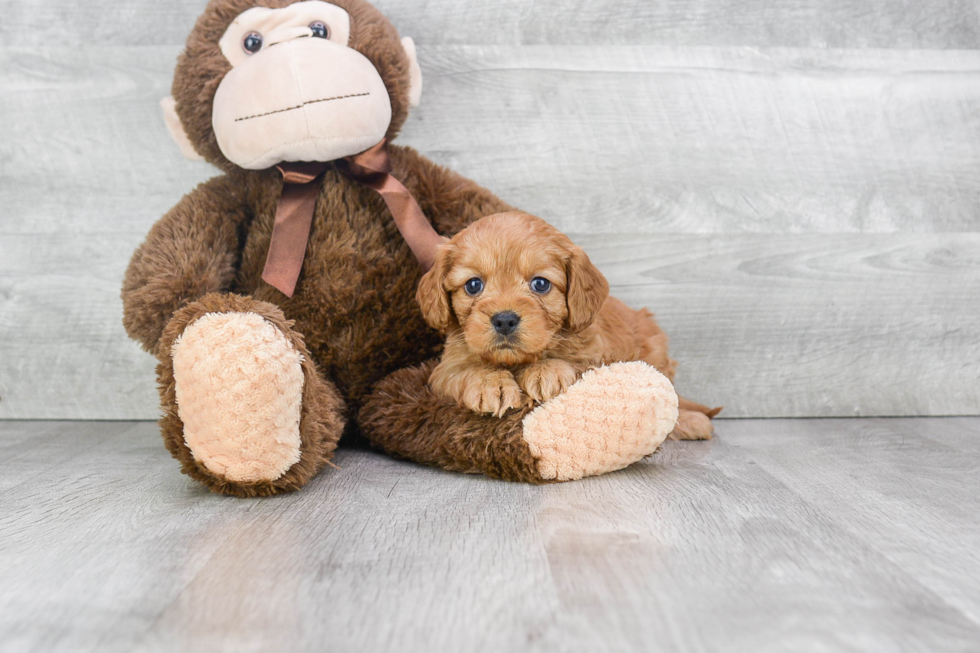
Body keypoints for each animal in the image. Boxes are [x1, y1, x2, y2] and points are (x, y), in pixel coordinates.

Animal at [418, 211, 716, 440]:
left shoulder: (596, 358)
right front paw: (488, 384)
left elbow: (571, 363)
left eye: (540, 284)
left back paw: (692, 421)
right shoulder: (444, 370)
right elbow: (462, 372)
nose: (504, 320)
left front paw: (545, 371)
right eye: (473, 285)